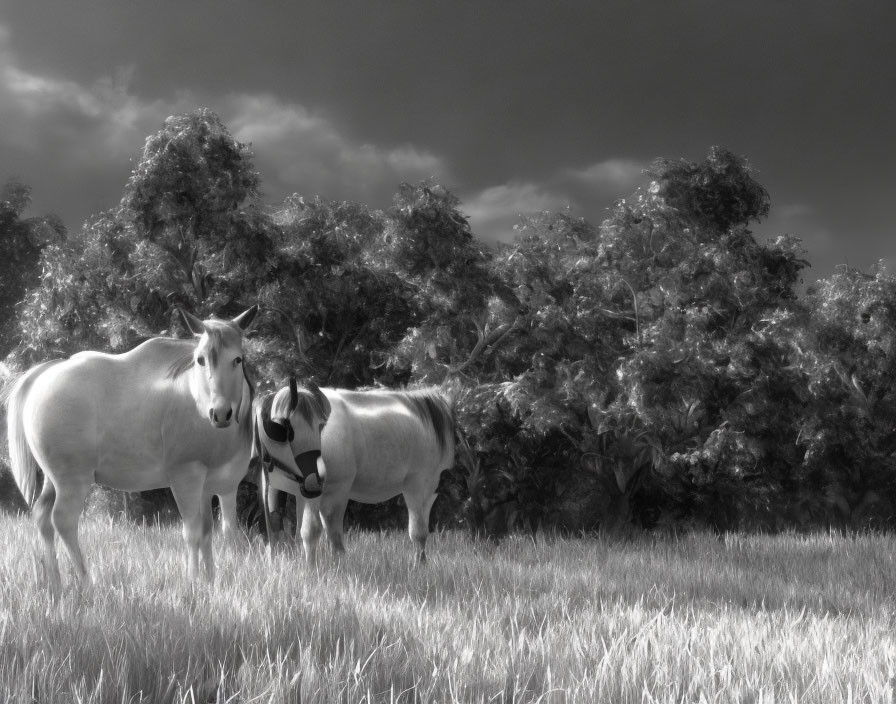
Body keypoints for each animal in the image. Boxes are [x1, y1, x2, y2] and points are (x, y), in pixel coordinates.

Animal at [3, 308, 258, 588]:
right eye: (200, 360)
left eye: (237, 359)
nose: (220, 413)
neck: (196, 401)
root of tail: (42, 374)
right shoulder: (186, 477)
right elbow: (193, 533)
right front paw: (193, 582)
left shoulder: (213, 487)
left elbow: (209, 532)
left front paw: (210, 580)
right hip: (73, 480)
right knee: (63, 521)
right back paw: (86, 581)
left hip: (53, 479)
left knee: (42, 517)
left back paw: (55, 581)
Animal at [250, 376, 452, 564]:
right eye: (283, 428)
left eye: (321, 426)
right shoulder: (286, 490)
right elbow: (279, 527)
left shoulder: (334, 491)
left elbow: (318, 533)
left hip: (419, 486)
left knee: (418, 532)